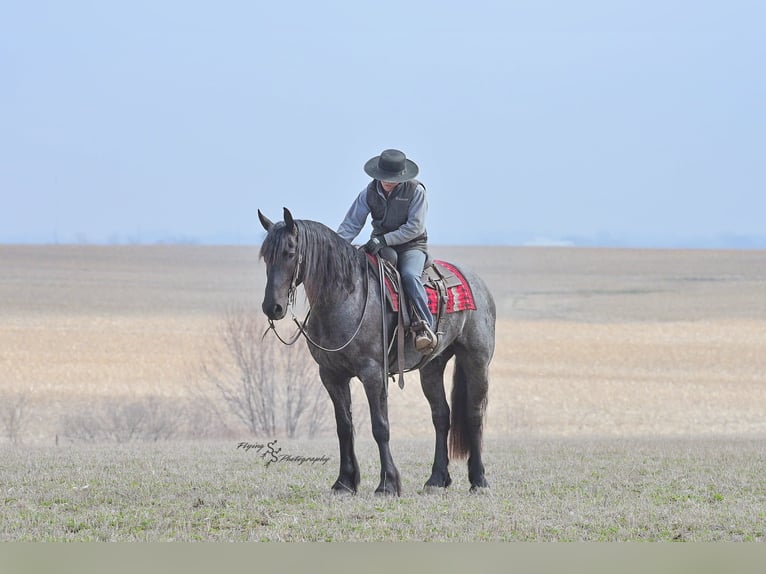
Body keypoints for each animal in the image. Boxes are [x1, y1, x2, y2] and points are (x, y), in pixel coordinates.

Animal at [258, 208, 495, 495]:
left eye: (290, 253)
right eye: (265, 256)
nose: (272, 307)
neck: (344, 298)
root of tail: (476, 282)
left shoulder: (372, 373)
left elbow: (380, 427)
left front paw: (388, 484)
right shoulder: (331, 375)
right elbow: (344, 427)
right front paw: (344, 482)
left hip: (476, 361)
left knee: (474, 414)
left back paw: (479, 480)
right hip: (432, 366)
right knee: (441, 416)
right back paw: (437, 479)